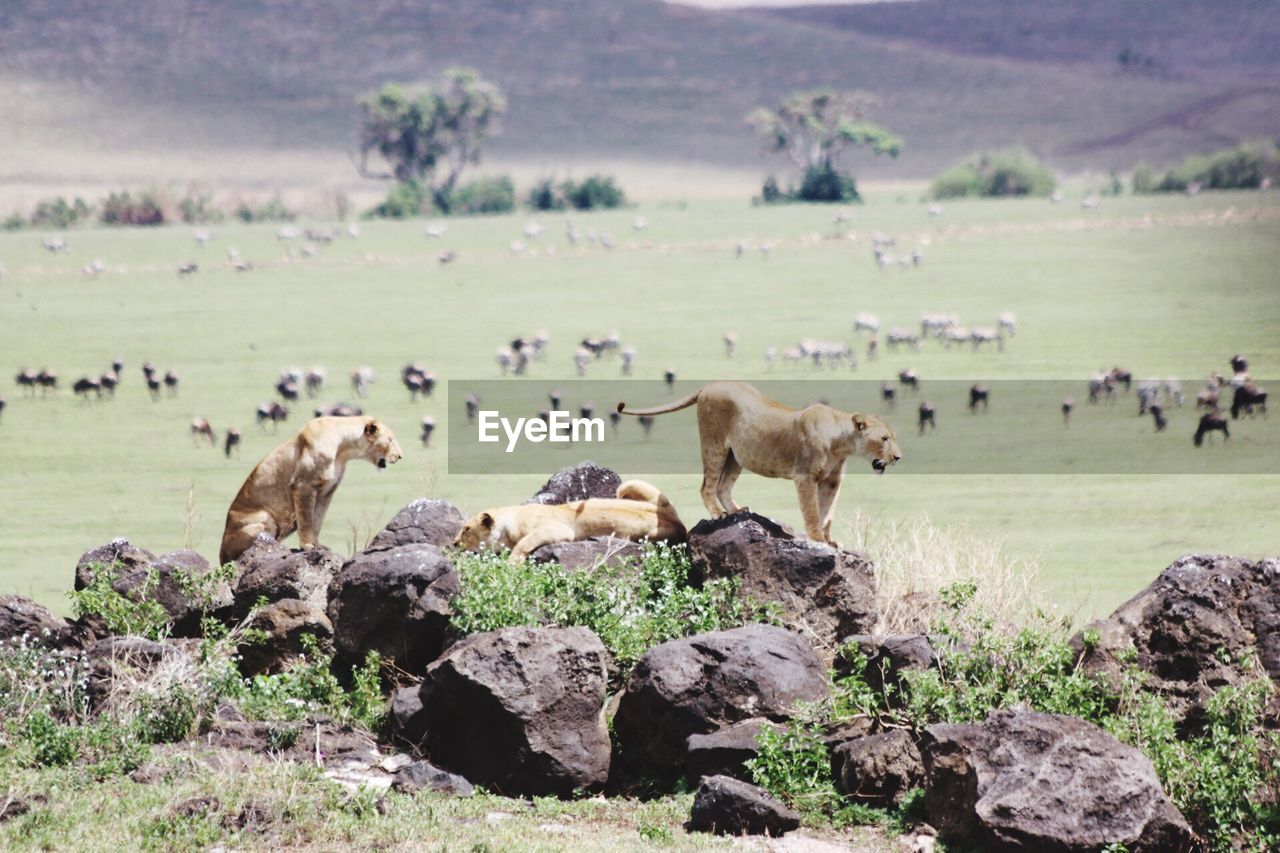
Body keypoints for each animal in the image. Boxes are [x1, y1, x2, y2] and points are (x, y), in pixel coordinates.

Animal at [217, 412, 401, 563]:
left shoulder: (327, 491)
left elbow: (317, 519)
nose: (400, 456)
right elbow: (306, 519)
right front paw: (307, 546)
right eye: (390, 439)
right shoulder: (303, 485)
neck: (343, 448)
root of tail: (221, 555)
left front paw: (318, 545)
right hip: (264, 516)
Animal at [453, 481, 686, 560]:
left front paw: (512, 564)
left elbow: (524, 543)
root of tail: (677, 521)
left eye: (466, 529)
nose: (454, 543)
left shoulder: (559, 530)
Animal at [616, 379, 901, 545]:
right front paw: (817, 539)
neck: (842, 443)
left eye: (892, 437)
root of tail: (710, 385)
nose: (898, 457)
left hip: (736, 456)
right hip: (714, 444)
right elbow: (812, 511)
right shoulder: (806, 477)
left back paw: (737, 510)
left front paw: (829, 540)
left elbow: (827, 511)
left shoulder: (832, 481)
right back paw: (719, 514)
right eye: (884, 438)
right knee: (707, 485)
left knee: (723, 486)